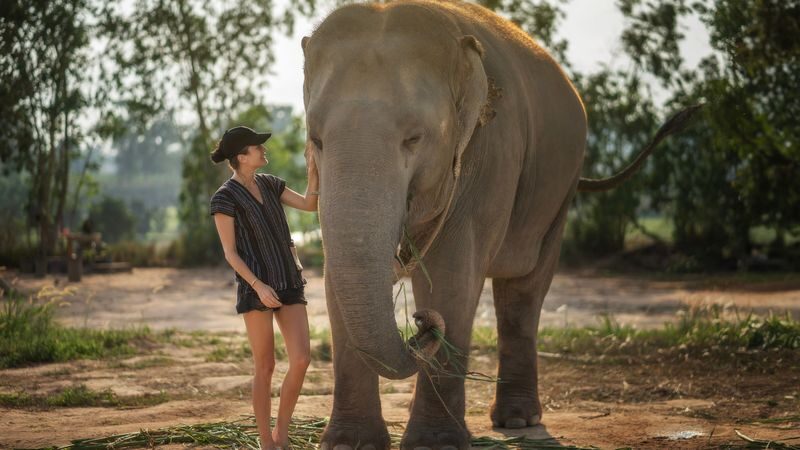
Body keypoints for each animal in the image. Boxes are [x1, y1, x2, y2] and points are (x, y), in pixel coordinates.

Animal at [301, 1, 699, 448]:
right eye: (316, 139)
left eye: (414, 139)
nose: (421, 324)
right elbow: (336, 277)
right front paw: (347, 444)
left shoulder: (492, 154)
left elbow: (452, 274)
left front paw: (435, 444)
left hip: (560, 191)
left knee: (524, 291)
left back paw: (518, 420)